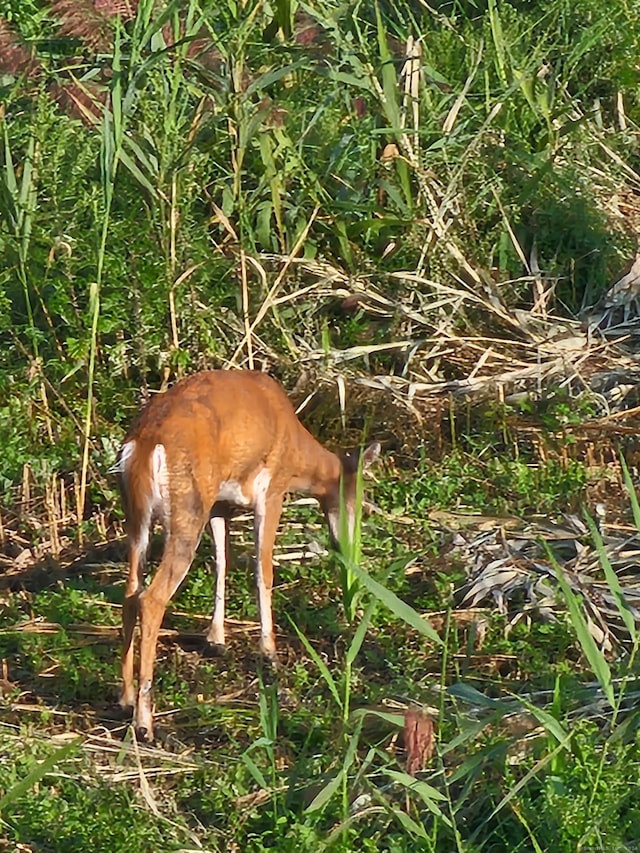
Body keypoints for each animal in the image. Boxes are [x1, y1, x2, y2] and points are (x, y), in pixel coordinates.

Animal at [112, 372, 380, 740]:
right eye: (360, 501)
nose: (349, 549)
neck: (298, 453)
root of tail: (143, 444)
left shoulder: (220, 504)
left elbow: (221, 562)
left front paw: (216, 639)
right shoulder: (272, 489)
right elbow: (262, 569)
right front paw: (269, 653)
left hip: (138, 516)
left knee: (130, 592)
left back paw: (125, 700)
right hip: (187, 507)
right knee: (151, 599)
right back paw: (145, 722)